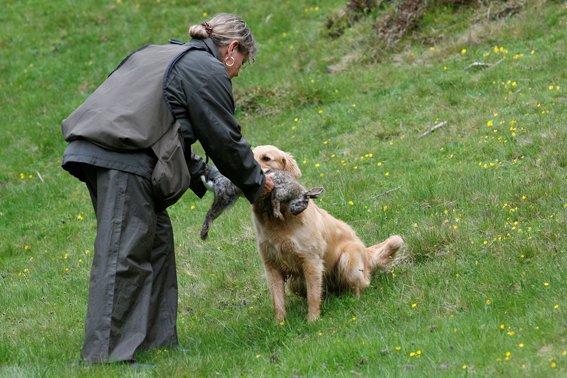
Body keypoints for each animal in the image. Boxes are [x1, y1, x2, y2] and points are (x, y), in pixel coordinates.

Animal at [253, 145, 404, 322]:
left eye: (266, 158)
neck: (276, 222)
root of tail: (367, 254)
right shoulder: (271, 265)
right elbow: (278, 301)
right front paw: (280, 324)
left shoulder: (310, 260)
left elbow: (313, 296)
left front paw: (312, 320)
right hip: (295, 282)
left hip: (347, 260)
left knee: (362, 284)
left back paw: (353, 299)